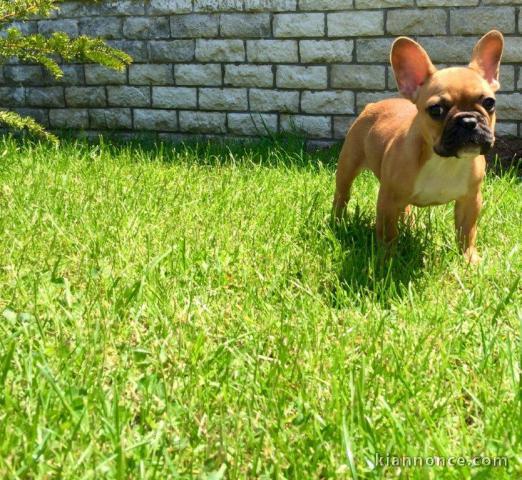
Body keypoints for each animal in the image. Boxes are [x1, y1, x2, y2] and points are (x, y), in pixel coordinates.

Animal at [332, 31, 502, 262]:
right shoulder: (388, 200)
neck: (444, 161)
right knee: (342, 194)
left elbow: (467, 232)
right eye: (436, 109)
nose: (468, 121)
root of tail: (372, 105)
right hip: (348, 165)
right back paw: (337, 222)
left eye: (489, 103)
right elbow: (388, 233)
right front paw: (387, 260)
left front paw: (469, 259)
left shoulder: (470, 200)